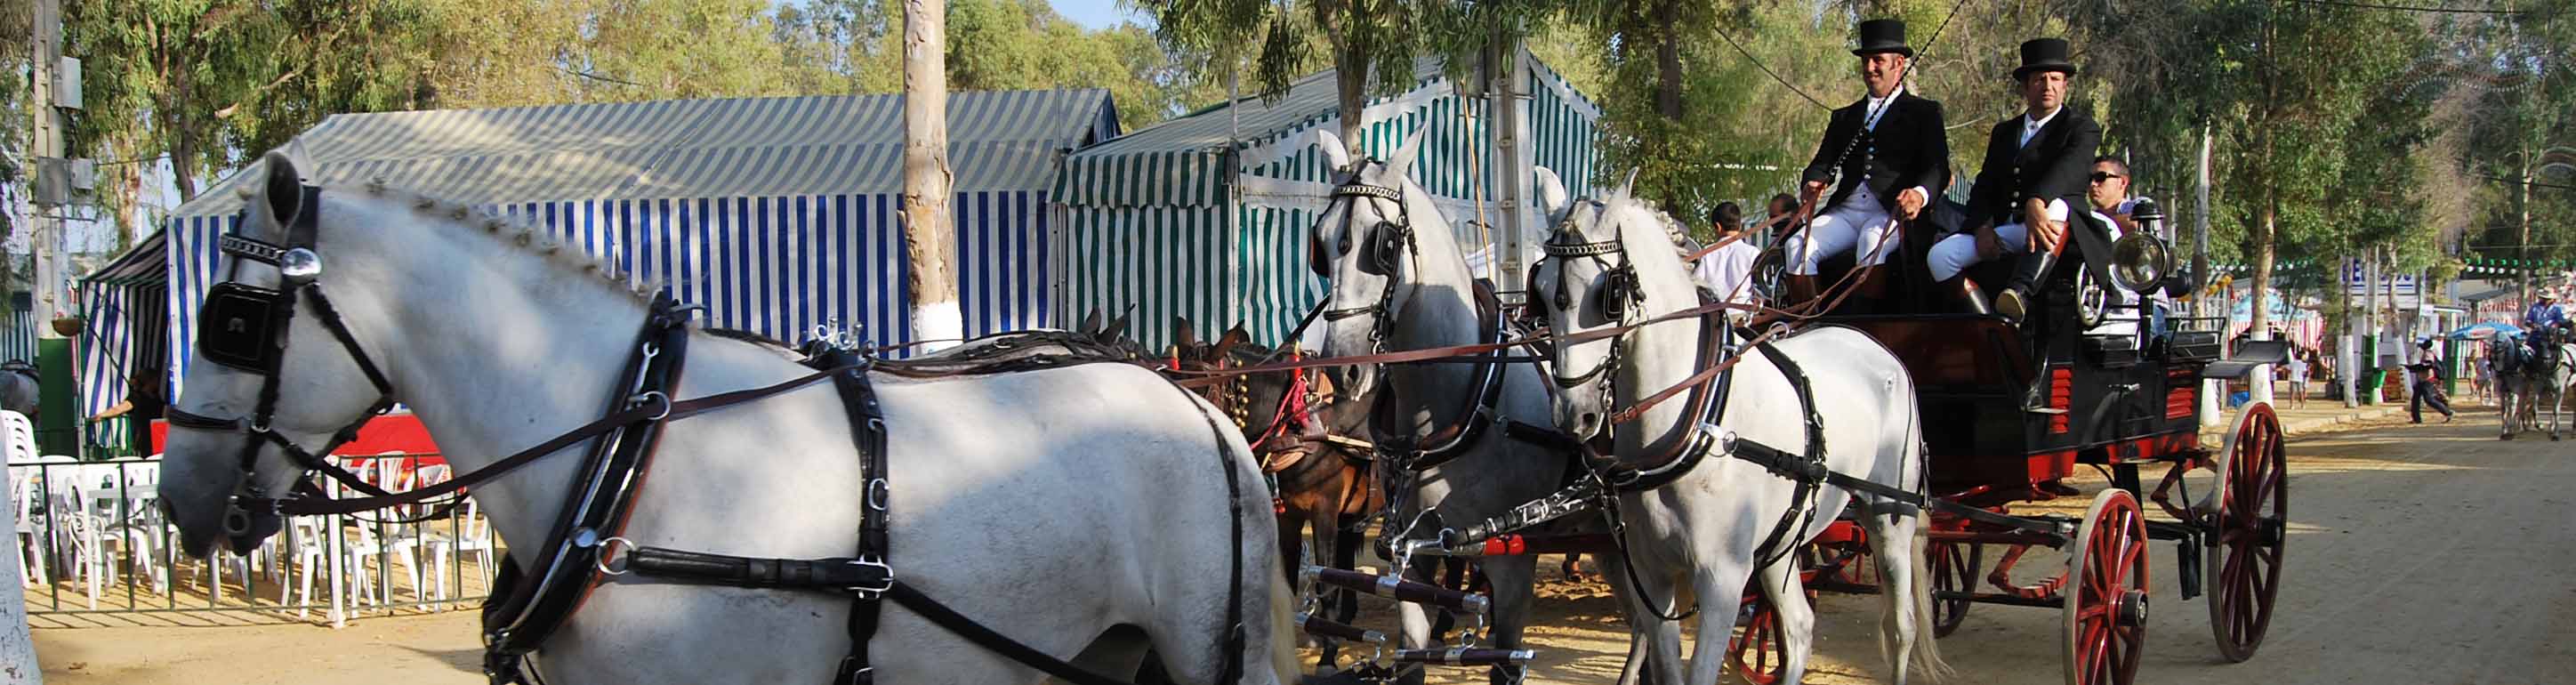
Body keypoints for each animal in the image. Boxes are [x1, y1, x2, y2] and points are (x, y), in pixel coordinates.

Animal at [1308, 131, 1648, 680]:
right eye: (1320, 242)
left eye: (1383, 244)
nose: (1346, 367)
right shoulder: (1412, 557)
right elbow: (1410, 658)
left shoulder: (1509, 563)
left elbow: (1505, 661)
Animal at [1514, 174, 1936, 685]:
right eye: (1539, 290)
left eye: (1608, 295)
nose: (1575, 413)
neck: (1696, 422)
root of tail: (1876, 346)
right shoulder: (1650, 573)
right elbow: (1668, 667)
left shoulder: (1723, 580)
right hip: (1780, 544)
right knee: (1798, 627)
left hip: (1891, 518)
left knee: (1900, 627)